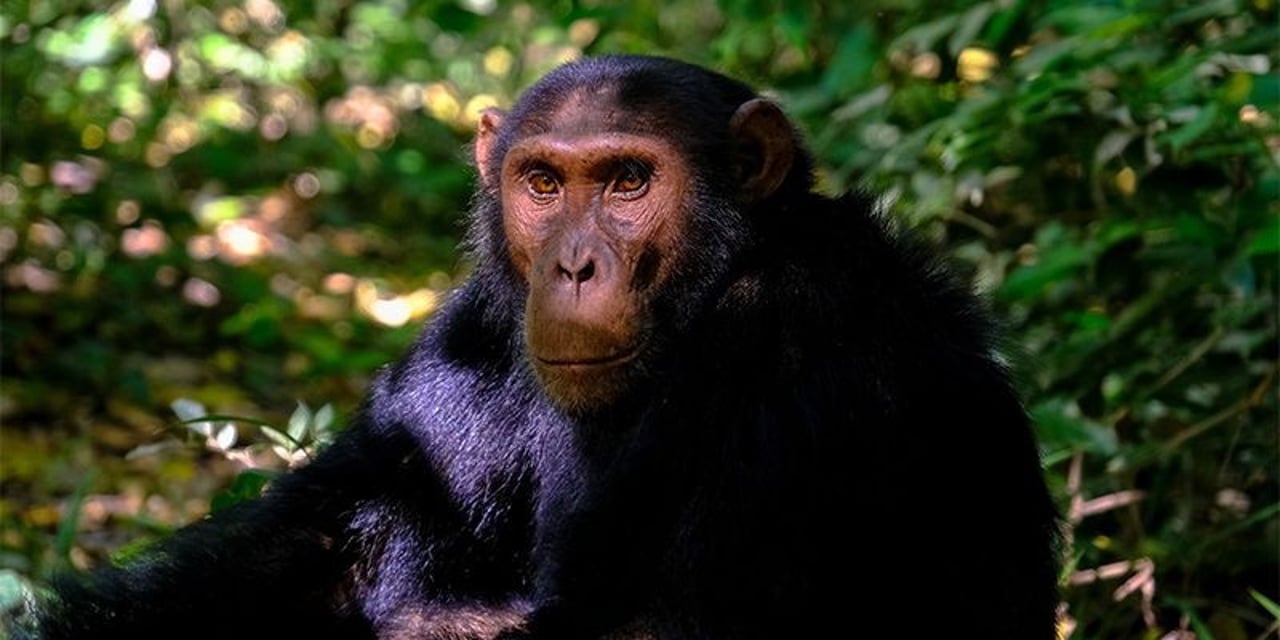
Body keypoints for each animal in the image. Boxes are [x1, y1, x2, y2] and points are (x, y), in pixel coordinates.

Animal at [22, 56, 1059, 640]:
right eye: (545, 184)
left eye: (631, 180)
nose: (573, 265)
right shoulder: (471, 334)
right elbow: (315, 551)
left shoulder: (805, 353)